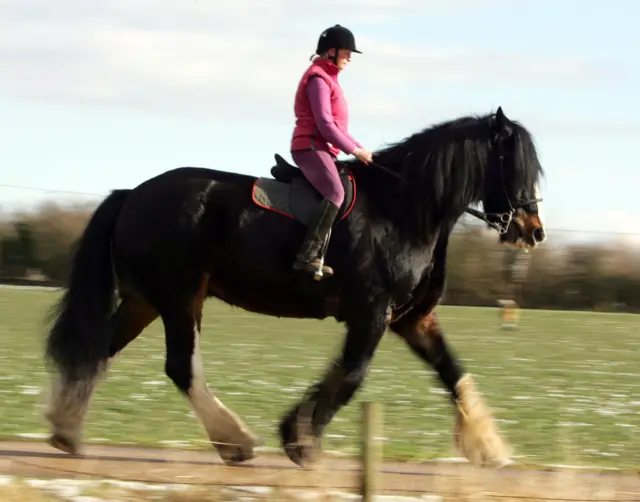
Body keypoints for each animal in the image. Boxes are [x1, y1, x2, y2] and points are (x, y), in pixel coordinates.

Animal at [43, 106, 546, 469]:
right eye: (513, 164)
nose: (533, 231)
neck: (401, 210)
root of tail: (132, 195)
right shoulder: (371, 313)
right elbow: (351, 375)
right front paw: (300, 440)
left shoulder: (411, 319)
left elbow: (452, 371)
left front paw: (489, 446)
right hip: (180, 297)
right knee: (180, 367)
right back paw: (235, 441)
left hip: (146, 300)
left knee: (98, 349)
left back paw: (66, 431)